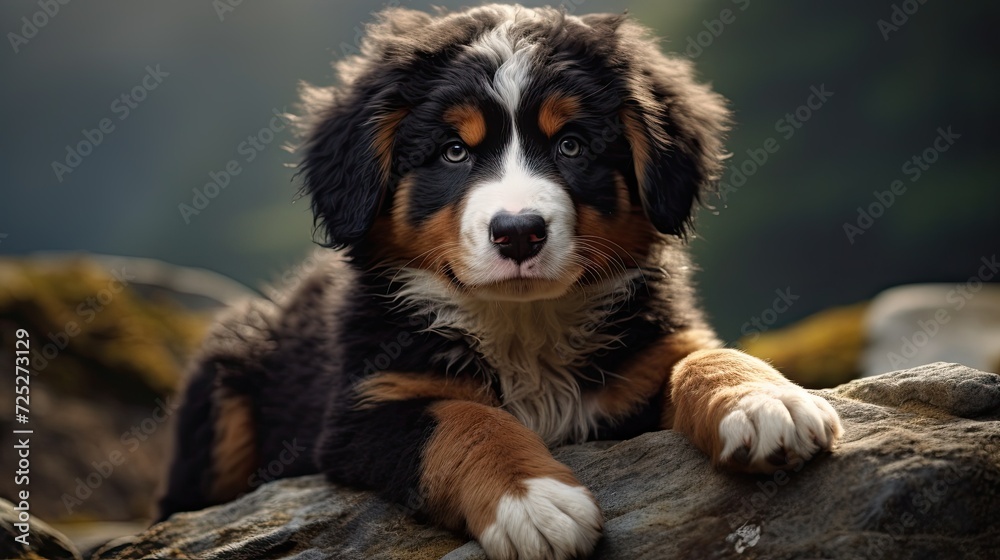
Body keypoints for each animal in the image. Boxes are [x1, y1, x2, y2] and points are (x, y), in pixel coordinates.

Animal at [160, 5, 840, 560]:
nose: (518, 233)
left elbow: (704, 356)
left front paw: (761, 401)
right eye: (454, 152)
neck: (524, 324)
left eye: (571, 145)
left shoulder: (650, 353)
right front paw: (533, 502)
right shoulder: (368, 406)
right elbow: (463, 420)